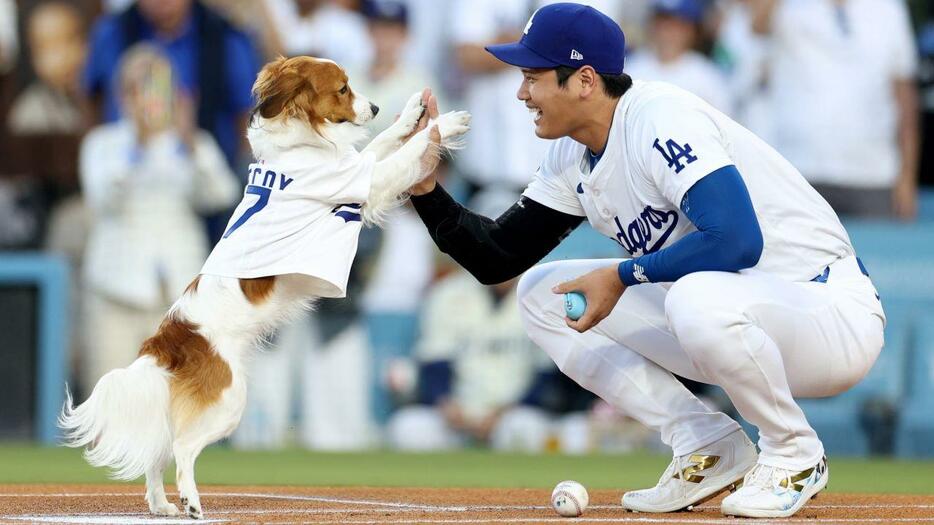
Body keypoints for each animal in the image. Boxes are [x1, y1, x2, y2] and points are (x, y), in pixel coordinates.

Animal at [58, 55, 472, 516]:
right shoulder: (364, 181)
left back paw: (161, 505)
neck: (298, 144)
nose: (377, 107)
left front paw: (413, 113)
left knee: (159, 450)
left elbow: (382, 142)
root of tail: (167, 341)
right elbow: (404, 154)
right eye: (343, 89)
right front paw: (446, 124)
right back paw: (190, 500)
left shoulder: (354, 168)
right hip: (229, 402)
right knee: (182, 448)